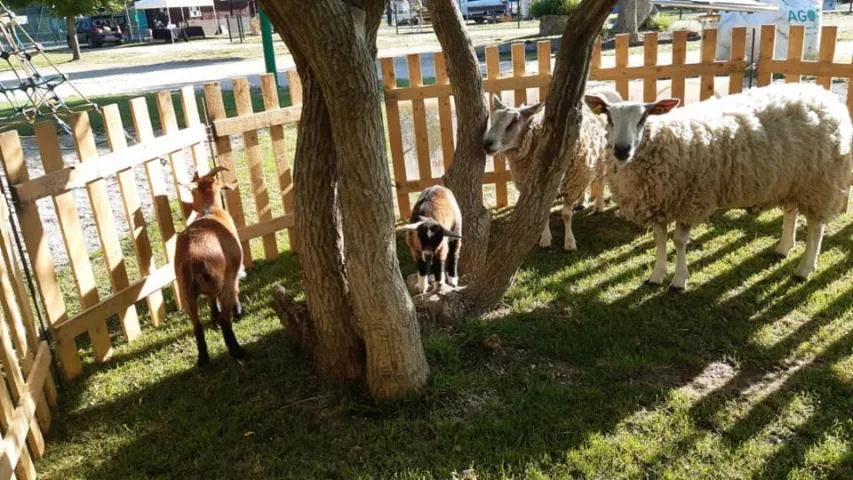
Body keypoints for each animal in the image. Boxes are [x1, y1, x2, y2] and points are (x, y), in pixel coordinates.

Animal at [175, 167, 248, 366]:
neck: (211, 210)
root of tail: (193, 259)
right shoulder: (232, 275)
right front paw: (238, 311)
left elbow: (210, 301)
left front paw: (213, 316)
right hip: (223, 283)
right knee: (225, 321)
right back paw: (237, 351)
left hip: (187, 293)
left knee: (197, 325)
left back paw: (203, 359)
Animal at [480, 84, 620, 251]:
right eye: (493, 118)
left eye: (514, 120)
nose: (486, 143)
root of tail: (606, 85)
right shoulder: (544, 187)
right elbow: (543, 216)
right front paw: (545, 239)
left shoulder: (572, 182)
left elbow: (566, 214)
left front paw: (569, 242)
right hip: (587, 164)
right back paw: (581, 201)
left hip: (604, 157)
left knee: (602, 180)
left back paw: (598, 205)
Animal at [584, 83, 852, 288]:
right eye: (608, 117)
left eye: (643, 118)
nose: (621, 150)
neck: (664, 138)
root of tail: (826, 96)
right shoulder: (659, 202)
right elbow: (660, 241)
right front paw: (656, 276)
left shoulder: (690, 200)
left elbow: (678, 241)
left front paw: (679, 280)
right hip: (792, 179)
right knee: (792, 211)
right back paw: (784, 248)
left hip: (819, 183)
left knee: (816, 228)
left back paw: (804, 269)